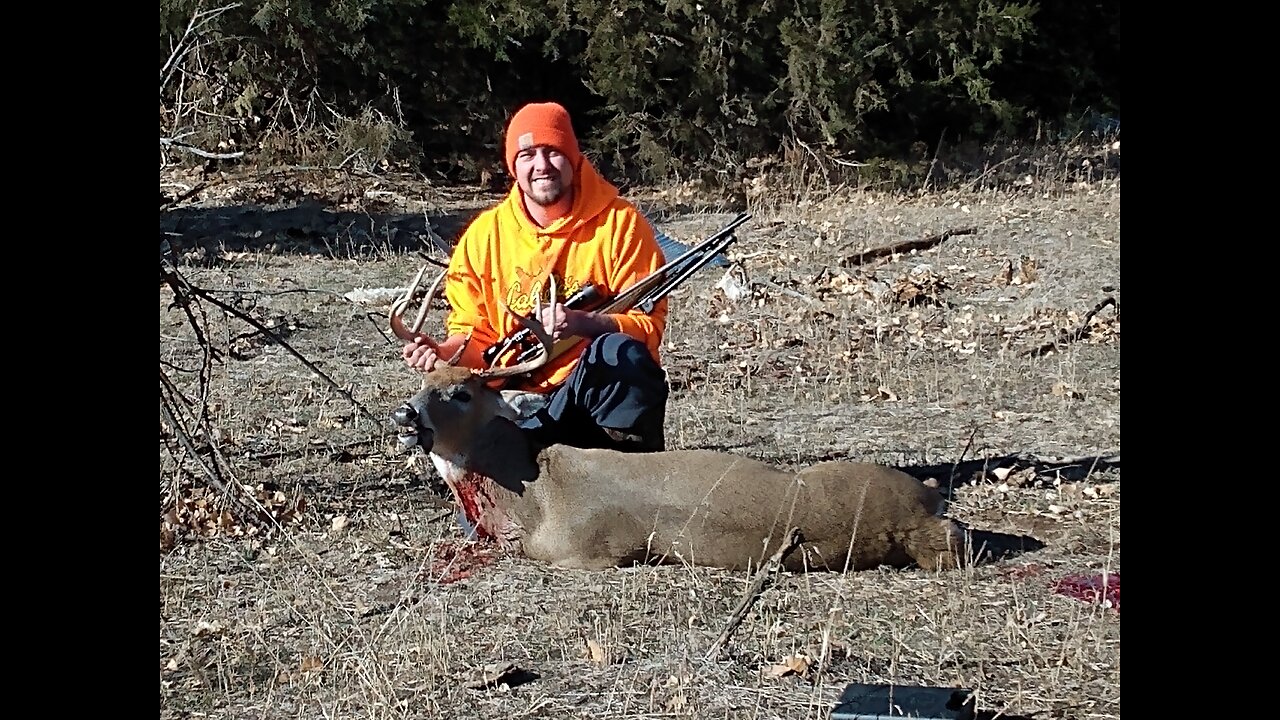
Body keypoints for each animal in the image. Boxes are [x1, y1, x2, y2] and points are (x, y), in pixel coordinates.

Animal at [387, 269, 964, 572]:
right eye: (419, 384)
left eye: (461, 392)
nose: (404, 413)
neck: (530, 499)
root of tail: (928, 500)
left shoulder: (583, 551)